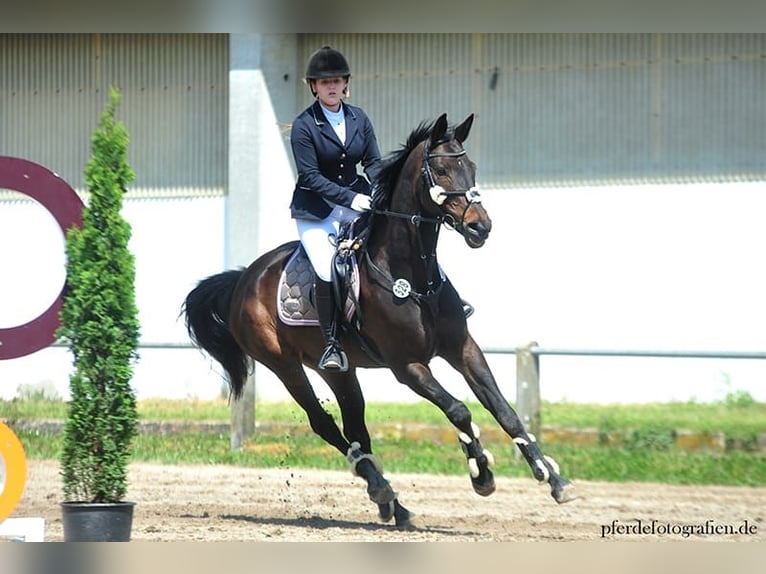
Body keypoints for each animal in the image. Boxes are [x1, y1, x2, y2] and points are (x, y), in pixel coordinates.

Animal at [182, 110, 576, 528]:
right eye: (441, 170)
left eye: (471, 168)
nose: (479, 227)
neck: (415, 275)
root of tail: (245, 277)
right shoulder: (407, 366)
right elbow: (459, 409)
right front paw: (481, 473)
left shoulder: (464, 349)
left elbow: (505, 410)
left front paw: (553, 479)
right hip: (284, 365)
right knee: (324, 424)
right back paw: (381, 489)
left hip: (337, 370)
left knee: (356, 428)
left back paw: (391, 502)